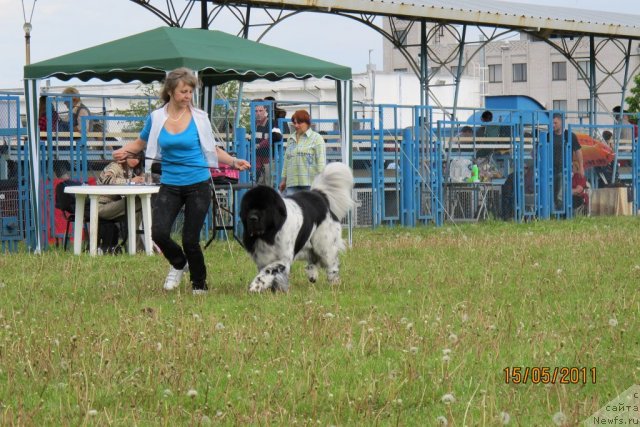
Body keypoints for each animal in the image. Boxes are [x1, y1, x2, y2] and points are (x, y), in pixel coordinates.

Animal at [240, 162, 356, 292]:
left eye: (264, 209)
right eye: (248, 208)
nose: (252, 218)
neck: (269, 234)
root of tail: (318, 195)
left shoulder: (282, 259)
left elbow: (268, 271)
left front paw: (255, 286)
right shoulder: (262, 258)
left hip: (324, 244)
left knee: (331, 262)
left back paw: (334, 282)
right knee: (313, 258)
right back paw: (312, 274)